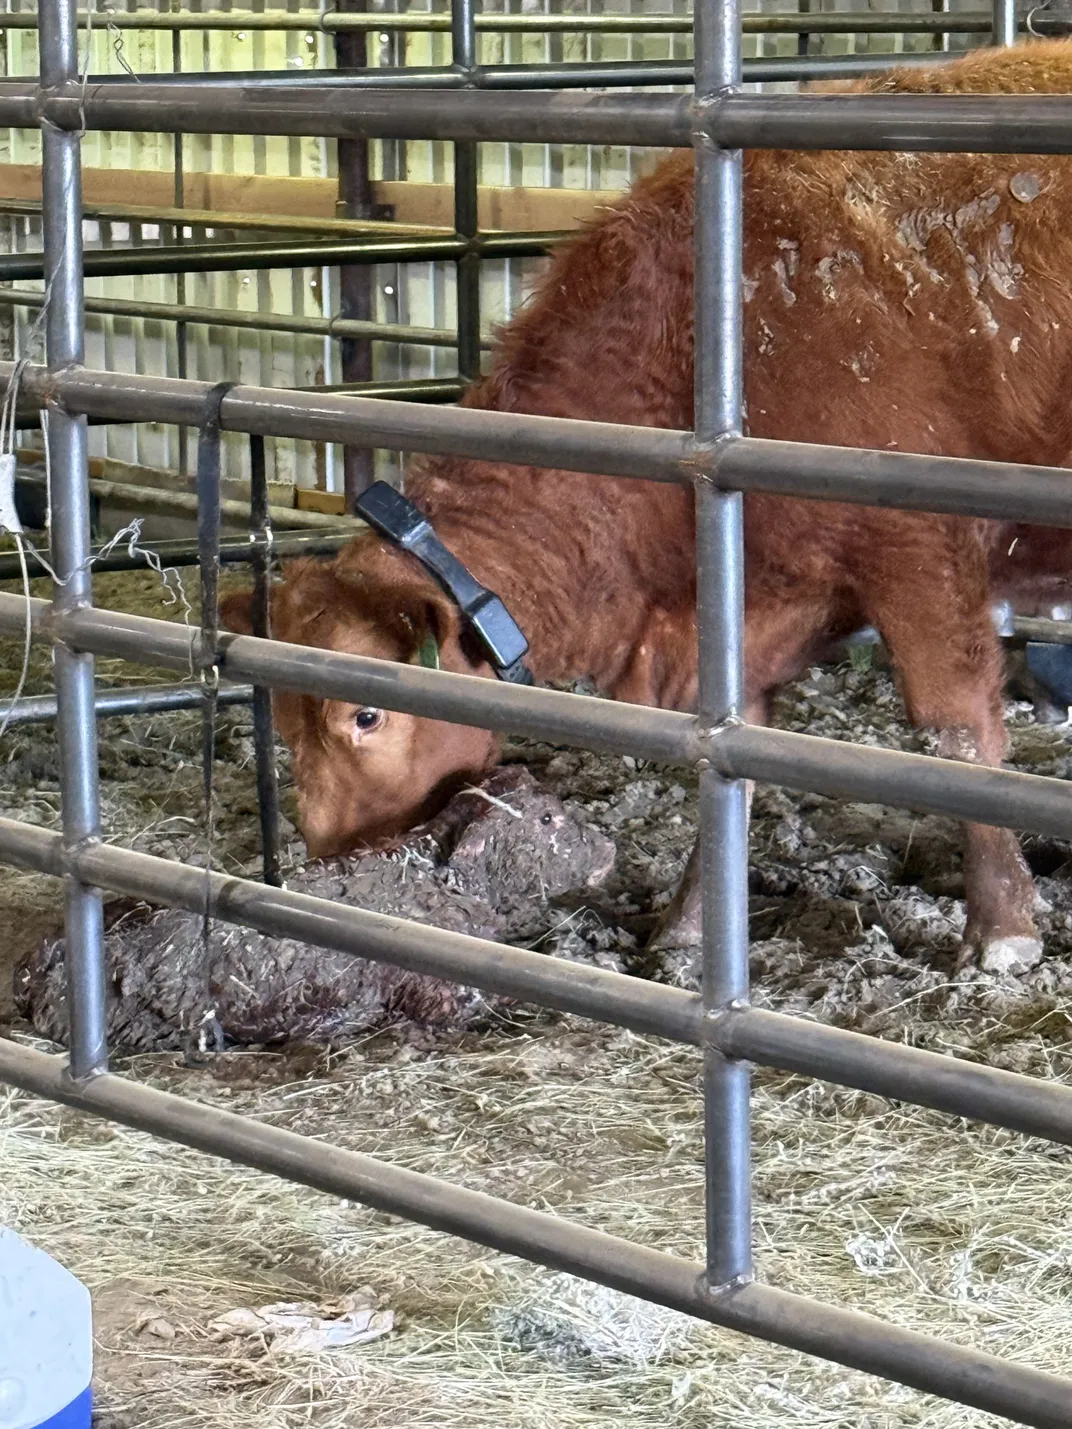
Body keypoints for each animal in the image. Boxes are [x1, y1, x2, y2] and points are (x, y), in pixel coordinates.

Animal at [222, 41, 1072, 971]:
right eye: (282, 715)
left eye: (364, 713)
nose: (326, 847)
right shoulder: (743, 615)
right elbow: (731, 762)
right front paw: (690, 931)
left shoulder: (919, 550)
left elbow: (958, 737)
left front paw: (1003, 926)